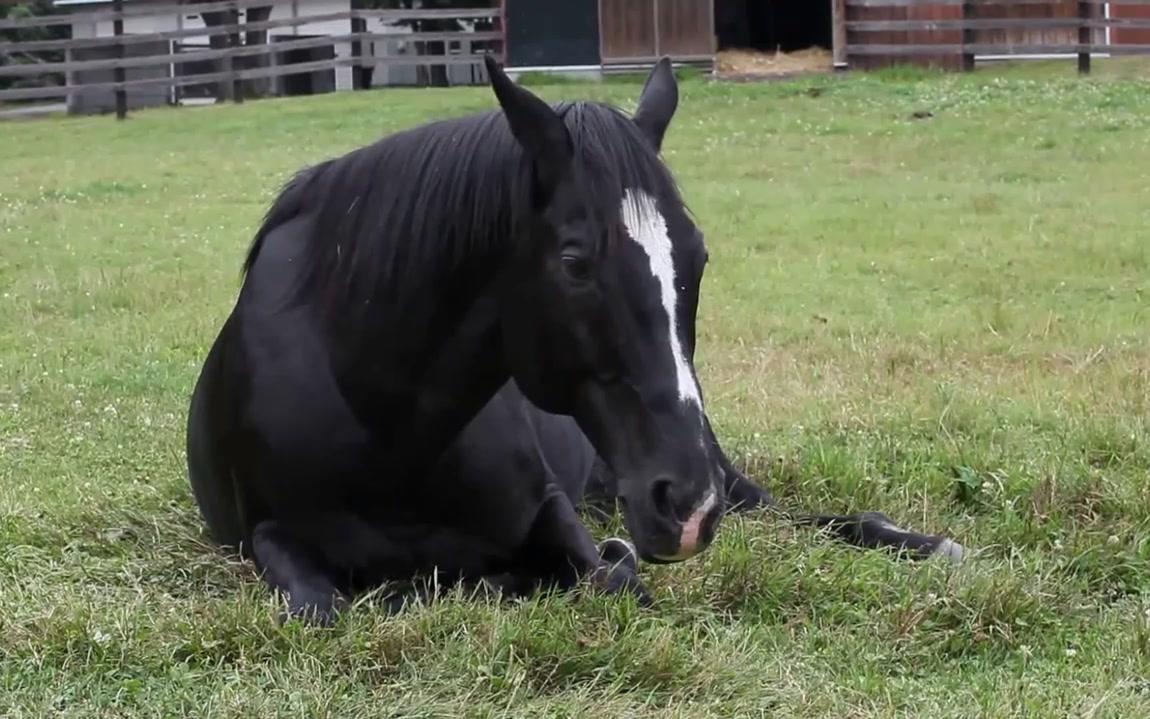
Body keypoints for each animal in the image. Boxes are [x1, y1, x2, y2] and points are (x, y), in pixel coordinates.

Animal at [186, 56, 961, 621]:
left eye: (698, 256)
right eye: (575, 261)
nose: (686, 505)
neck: (377, 418)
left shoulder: (555, 512)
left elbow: (609, 577)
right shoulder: (269, 536)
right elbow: (323, 605)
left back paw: (924, 543)